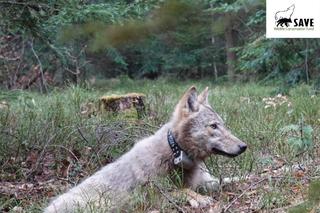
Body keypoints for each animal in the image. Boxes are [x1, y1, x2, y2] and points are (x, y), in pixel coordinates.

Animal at [43, 85, 246, 212]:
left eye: (223, 125)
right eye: (213, 126)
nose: (244, 146)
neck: (175, 152)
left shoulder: (207, 181)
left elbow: (231, 179)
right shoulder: (151, 193)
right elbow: (181, 191)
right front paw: (200, 199)